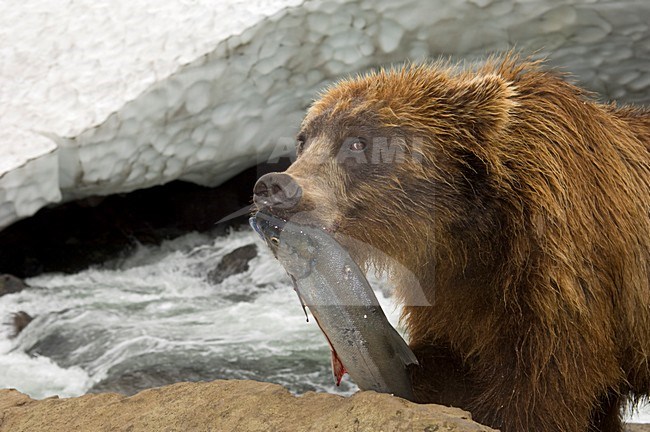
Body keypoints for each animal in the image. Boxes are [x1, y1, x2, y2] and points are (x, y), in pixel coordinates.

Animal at [252, 54, 648, 432]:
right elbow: (449, 366)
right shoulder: (449, 289)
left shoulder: (556, 272)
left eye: (356, 141)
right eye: (304, 139)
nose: (273, 186)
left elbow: (539, 391)